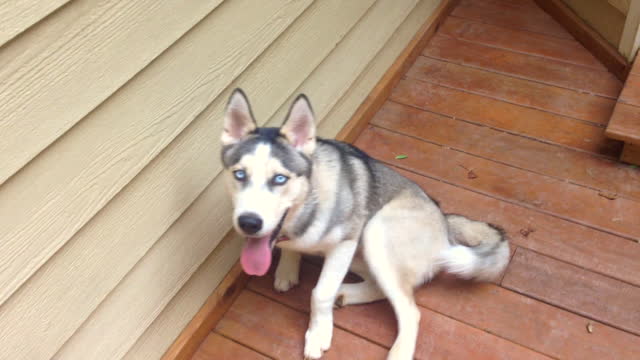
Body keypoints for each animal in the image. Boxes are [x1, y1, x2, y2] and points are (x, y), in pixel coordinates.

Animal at [220, 89, 510, 360]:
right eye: (239, 175)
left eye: (279, 179)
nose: (249, 223)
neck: (306, 206)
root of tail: (444, 218)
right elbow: (293, 253)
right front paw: (288, 268)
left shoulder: (345, 243)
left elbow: (320, 293)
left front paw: (318, 333)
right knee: (379, 288)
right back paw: (345, 294)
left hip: (374, 231)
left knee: (410, 311)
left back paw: (397, 350)